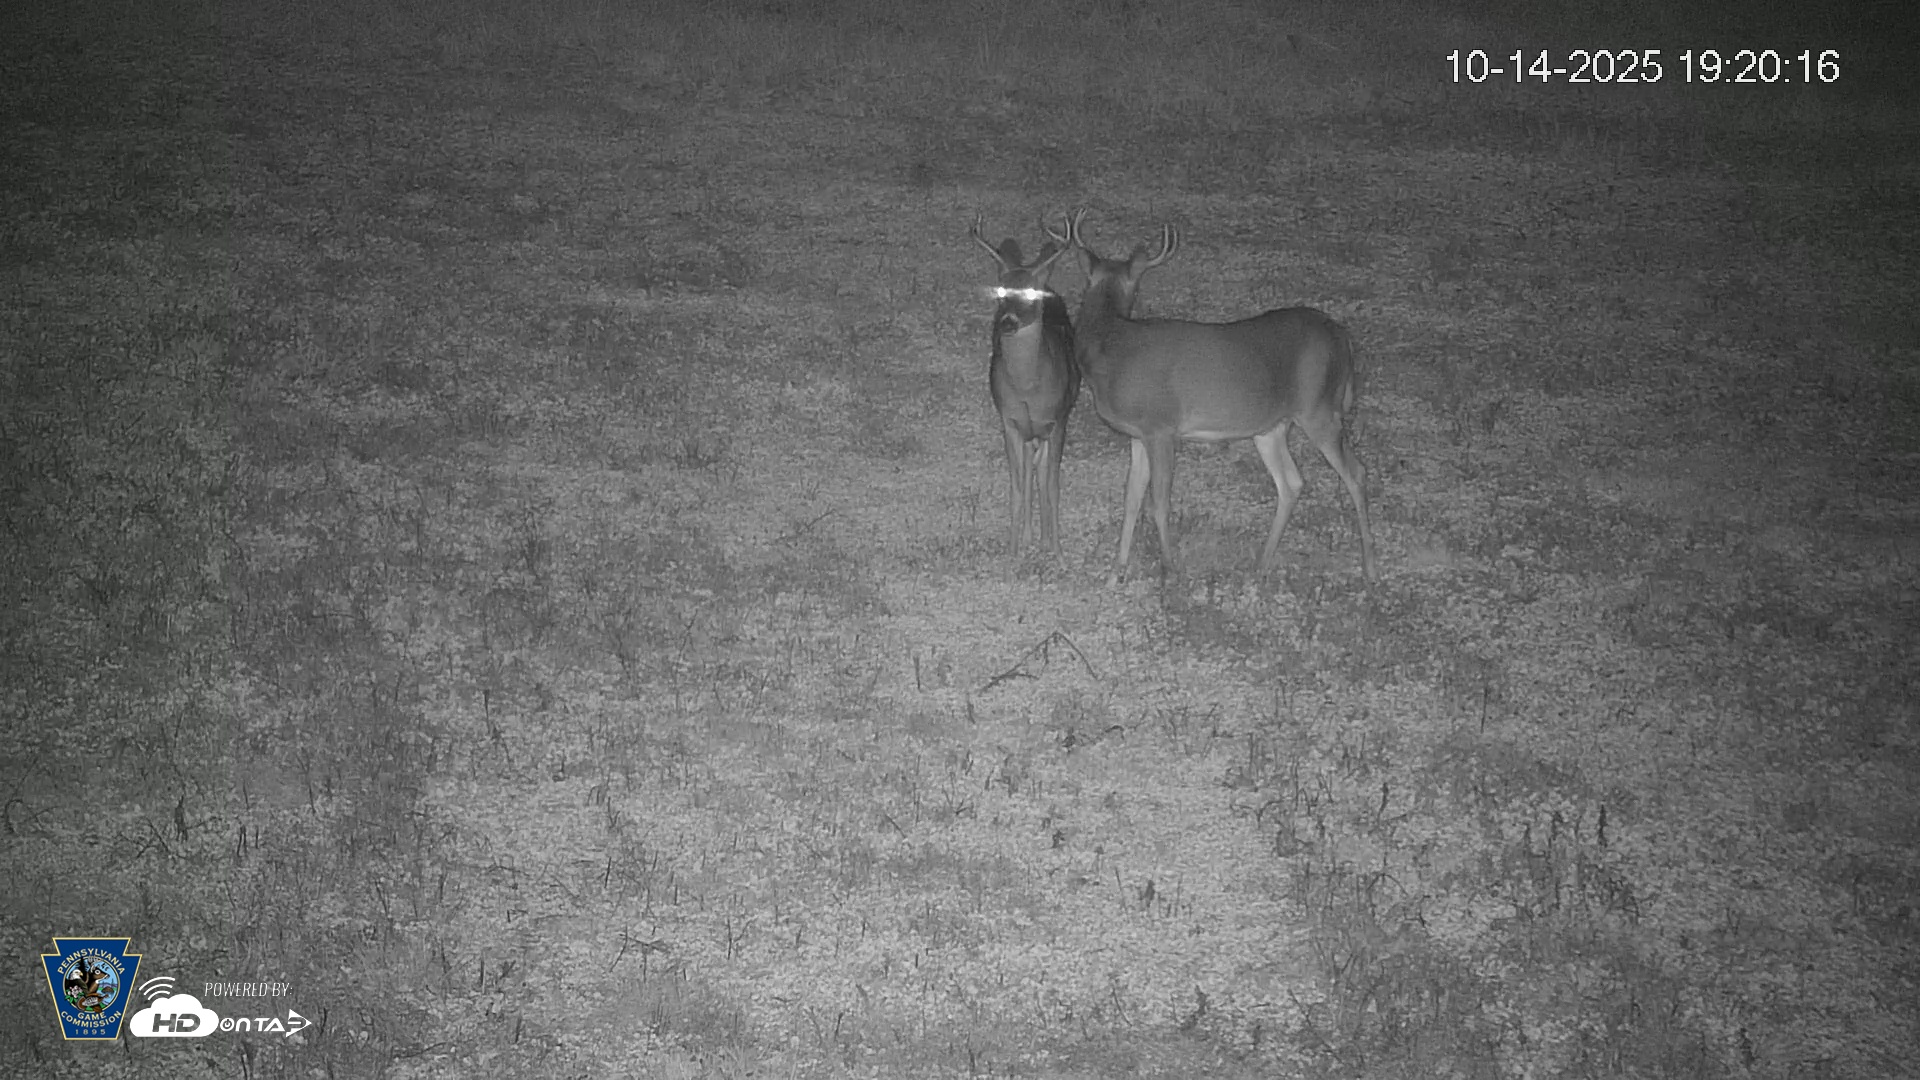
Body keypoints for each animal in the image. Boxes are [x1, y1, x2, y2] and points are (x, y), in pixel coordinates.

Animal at [970, 213, 1080, 556]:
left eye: (1031, 293)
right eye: (1002, 292)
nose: (1007, 323)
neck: (1029, 389)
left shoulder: (1057, 420)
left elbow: (1052, 484)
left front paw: (1056, 550)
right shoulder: (1009, 420)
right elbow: (1018, 486)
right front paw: (1013, 550)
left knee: (1042, 471)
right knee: (1032, 470)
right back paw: (1031, 537)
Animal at [1047, 208, 1378, 585]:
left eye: (1137, 286)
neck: (1110, 347)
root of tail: (1342, 336)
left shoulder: (1162, 427)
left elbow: (1158, 502)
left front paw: (1172, 568)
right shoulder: (1138, 433)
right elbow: (1131, 499)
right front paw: (1117, 572)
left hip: (1319, 408)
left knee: (1356, 473)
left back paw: (1370, 568)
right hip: (1272, 426)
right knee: (1292, 482)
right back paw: (1260, 565)